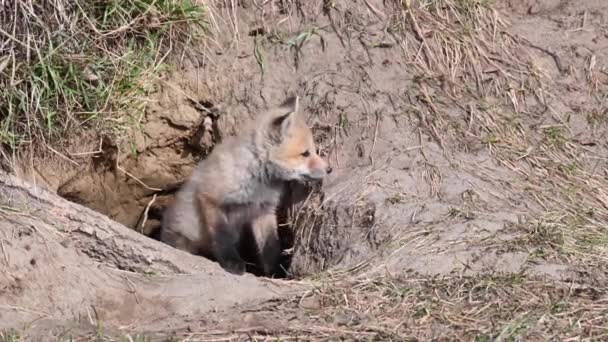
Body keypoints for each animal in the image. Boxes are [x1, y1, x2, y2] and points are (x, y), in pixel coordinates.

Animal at [160, 95, 332, 276]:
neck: (257, 182)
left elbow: (270, 246)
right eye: (305, 153)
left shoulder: (263, 210)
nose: (329, 169)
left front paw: (275, 272)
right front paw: (232, 263)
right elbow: (222, 236)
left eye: (313, 151)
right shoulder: (211, 198)